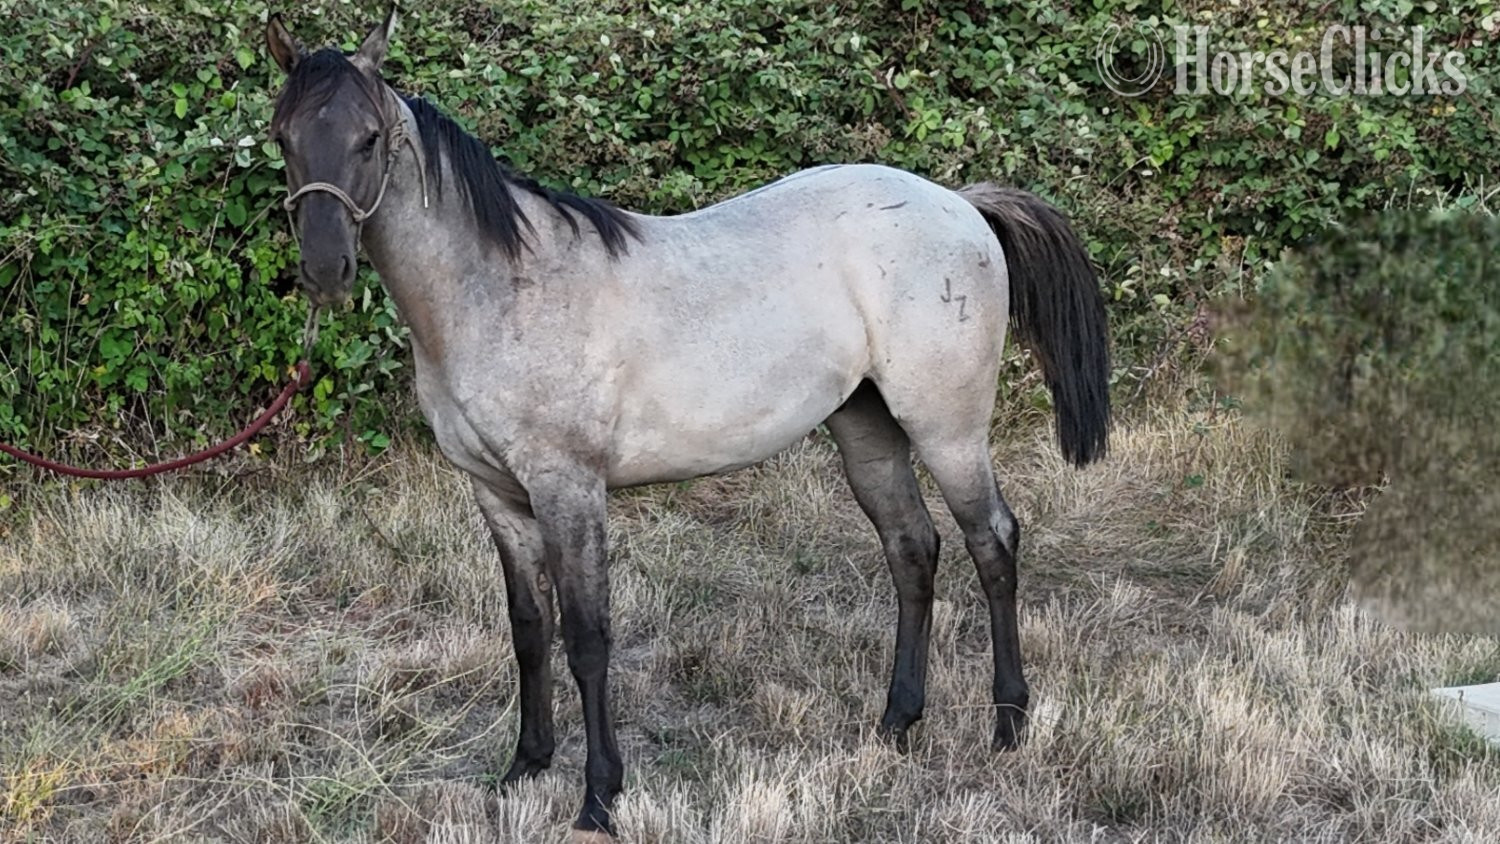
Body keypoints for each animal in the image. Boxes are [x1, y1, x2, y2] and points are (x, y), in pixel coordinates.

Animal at [265, 10, 1110, 839]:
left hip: (947, 429)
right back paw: (896, 722)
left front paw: (599, 799)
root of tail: (960, 204)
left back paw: (1008, 723)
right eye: (283, 137)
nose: (326, 270)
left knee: (991, 542)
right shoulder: (497, 496)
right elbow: (529, 629)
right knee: (913, 550)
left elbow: (588, 637)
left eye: (369, 138)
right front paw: (524, 769)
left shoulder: (569, 490)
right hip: (867, 433)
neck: (501, 289)